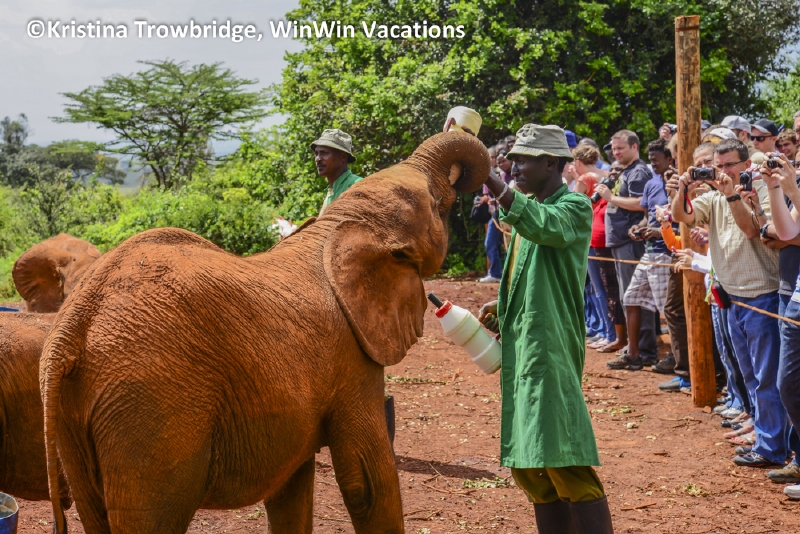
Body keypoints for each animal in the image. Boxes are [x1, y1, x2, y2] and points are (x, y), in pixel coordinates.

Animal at [40, 132, 489, 534]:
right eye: (438, 204)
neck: (340, 226)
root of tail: (72, 326)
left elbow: (292, 487)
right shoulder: (351, 357)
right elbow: (367, 482)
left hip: (80, 420)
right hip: (151, 405)